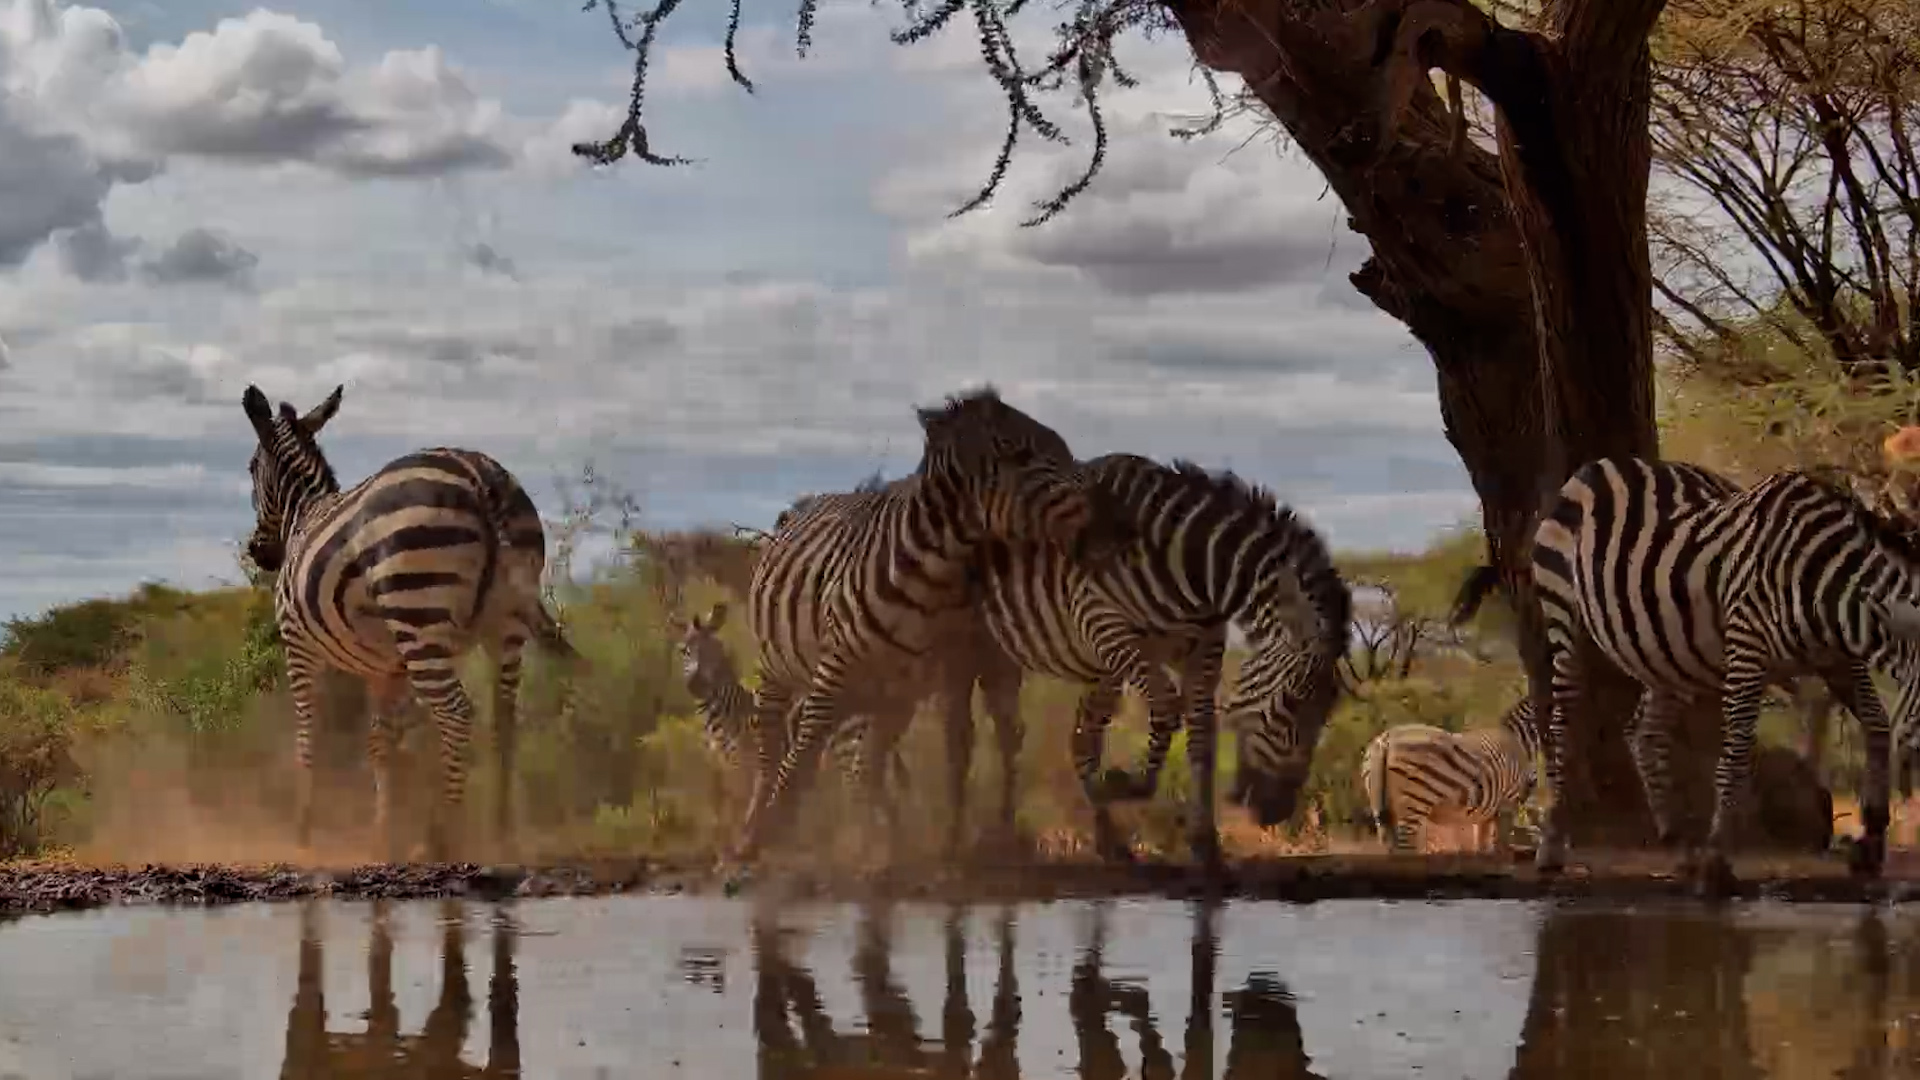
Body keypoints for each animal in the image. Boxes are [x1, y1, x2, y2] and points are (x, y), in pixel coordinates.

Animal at [240, 384, 581, 862]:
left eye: (251, 468)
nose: (259, 551)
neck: (304, 513)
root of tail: (479, 475)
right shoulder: (386, 668)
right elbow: (380, 744)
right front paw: (382, 835)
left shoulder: (297, 643)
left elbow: (310, 735)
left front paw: (303, 832)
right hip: (506, 627)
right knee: (505, 720)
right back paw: (500, 835)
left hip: (418, 614)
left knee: (457, 714)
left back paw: (439, 839)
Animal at [730, 386, 1117, 870]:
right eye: (1027, 456)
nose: (1111, 522)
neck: (935, 573)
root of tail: (800, 507)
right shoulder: (838, 669)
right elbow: (805, 753)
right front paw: (775, 831)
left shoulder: (944, 672)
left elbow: (944, 750)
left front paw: (900, 849)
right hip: (779, 668)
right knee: (773, 742)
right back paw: (756, 829)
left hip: (912, 689)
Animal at [974, 454, 1353, 867]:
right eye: (1293, 702)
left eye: (1328, 711)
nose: (1277, 811)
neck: (1189, 569)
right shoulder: (1104, 623)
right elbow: (1168, 707)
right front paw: (1129, 784)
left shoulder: (1204, 648)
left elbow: (1201, 733)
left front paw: (1205, 843)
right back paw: (994, 839)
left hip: (1087, 670)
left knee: (1071, 738)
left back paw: (1107, 842)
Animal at [1360, 697, 1541, 854]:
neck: (1518, 740)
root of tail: (1386, 739)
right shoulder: (1507, 803)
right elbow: (1500, 847)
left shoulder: (1486, 813)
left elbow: (1482, 846)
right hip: (1414, 803)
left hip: (1380, 805)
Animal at [1450, 457, 1920, 888]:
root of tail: (1601, 465)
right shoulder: (1748, 645)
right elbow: (1734, 756)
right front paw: (1717, 862)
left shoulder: (1837, 659)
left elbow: (1877, 724)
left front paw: (1871, 841)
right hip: (1564, 614)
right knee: (1565, 724)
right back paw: (1551, 850)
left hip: (1663, 649)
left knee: (1643, 734)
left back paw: (1678, 844)